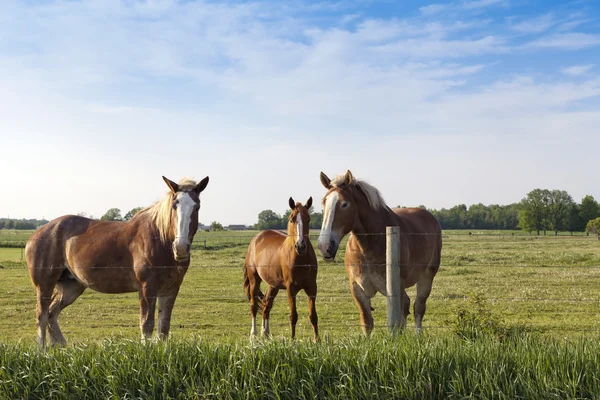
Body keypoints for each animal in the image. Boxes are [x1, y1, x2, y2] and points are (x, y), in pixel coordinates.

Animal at [25, 175, 209, 346]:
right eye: (174, 205)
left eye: (197, 206)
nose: (181, 248)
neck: (159, 239)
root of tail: (37, 233)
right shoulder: (147, 288)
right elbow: (146, 324)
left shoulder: (170, 289)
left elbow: (163, 328)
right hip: (45, 285)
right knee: (41, 315)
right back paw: (41, 351)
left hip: (72, 287)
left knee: (52, 313)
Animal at [243, 198, 322, 342]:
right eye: (291, 219)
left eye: (308, 219)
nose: (300, 246)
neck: (300, 259)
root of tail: (256, 239)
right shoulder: (291, 288)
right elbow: (293, 315)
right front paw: (293, 341)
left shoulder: (312, 287)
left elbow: (313, 315)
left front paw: (317, 340)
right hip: (254, 280)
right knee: (253, 305)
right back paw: (254, 334)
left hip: (273, 285)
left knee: (266, 304)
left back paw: (266, 333)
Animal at [318, 170, 440, 336]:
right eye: (324, 202)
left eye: (344, 204)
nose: (325, 246)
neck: (369, 245)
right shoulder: (358, 289)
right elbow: (367, 322)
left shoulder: (393, 289)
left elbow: (395, 322)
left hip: (426, 278)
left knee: (418, 308)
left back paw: (417, 336)